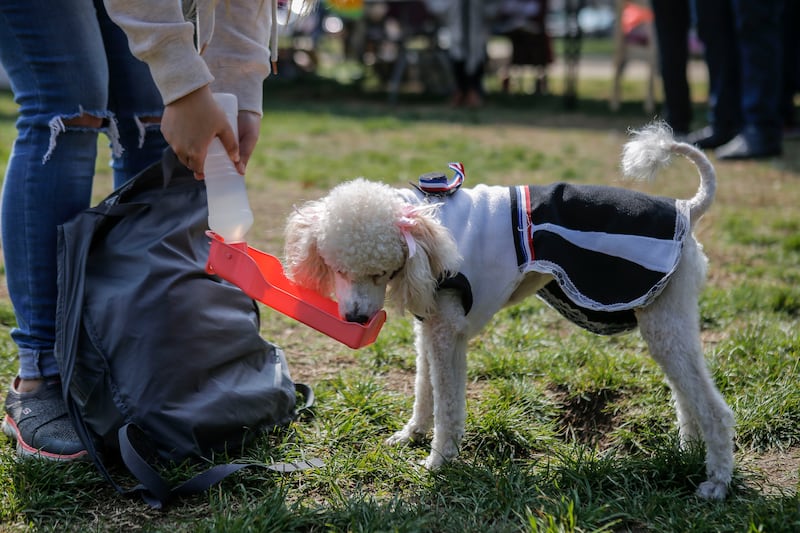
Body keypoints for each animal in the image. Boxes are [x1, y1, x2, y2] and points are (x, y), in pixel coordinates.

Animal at [284, 123, 736, 498]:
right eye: (337, 268)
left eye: (380, 271)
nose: (357, 319)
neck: (425, 227)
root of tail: (687, 208)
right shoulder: (429, 328)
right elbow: (423, 389)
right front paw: (411, 435)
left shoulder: (447, 332)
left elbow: (447, 403)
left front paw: (438, 460)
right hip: (667, 320)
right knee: (686, 393)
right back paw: (687, 450)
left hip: (660, 317)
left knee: (714, 408)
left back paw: (716, 481)